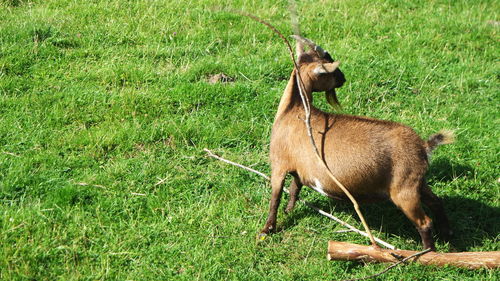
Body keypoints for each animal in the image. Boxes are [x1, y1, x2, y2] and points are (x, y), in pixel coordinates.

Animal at [262, 37, 454, 249]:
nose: (343, 78)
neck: (294, 110)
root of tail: (423, 147)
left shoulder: (279, 164)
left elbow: (275, 197)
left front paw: (267, 229)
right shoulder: (300, 168)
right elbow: (295, 188)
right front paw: (289, 210)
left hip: (405, 190)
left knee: (425, 222)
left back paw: (427, 252)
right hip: (418, 182)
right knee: (436, 202)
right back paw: (447, 234)